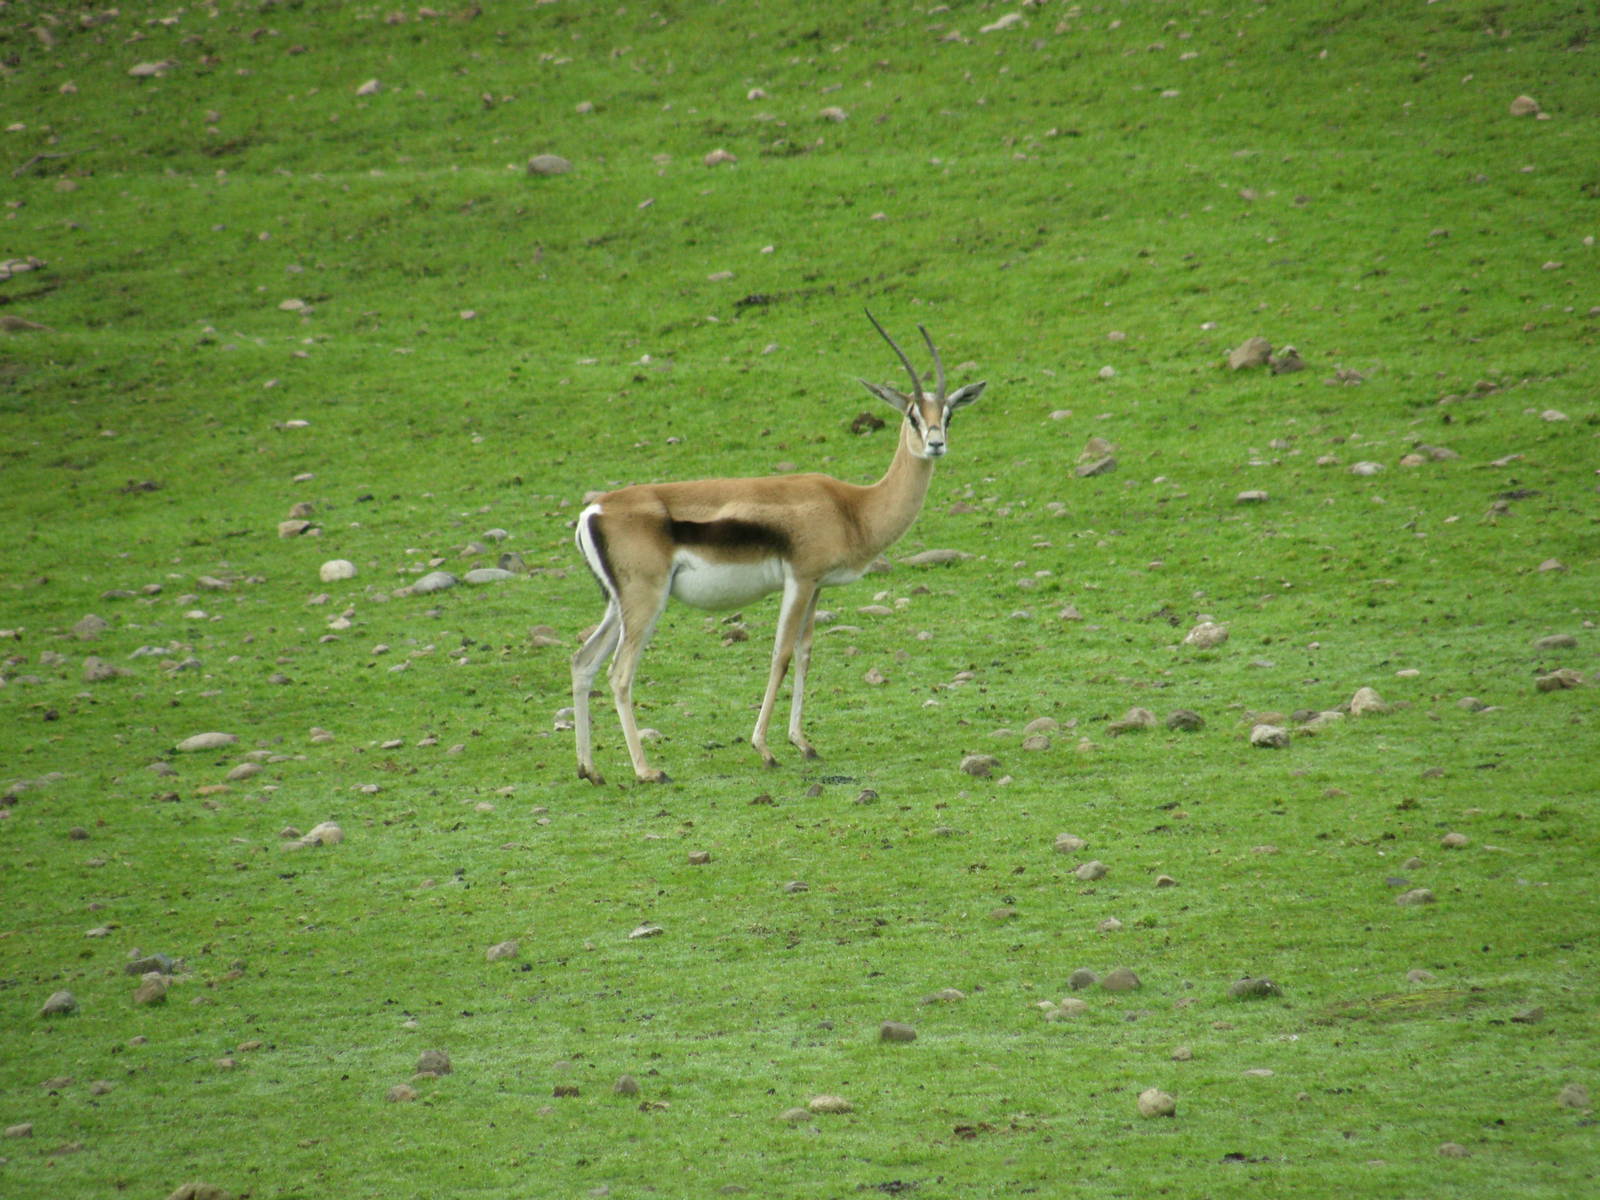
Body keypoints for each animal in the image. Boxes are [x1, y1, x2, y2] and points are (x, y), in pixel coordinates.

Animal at [571, 312, 985, 784]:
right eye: (913, 415)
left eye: (948, 414)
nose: (936, 443)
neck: (852, 507)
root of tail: (594, 511)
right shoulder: (800, 580)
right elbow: (781, 655)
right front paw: (764, 749)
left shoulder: (817, 586)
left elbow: (805, 654)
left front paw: (803, 743)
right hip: (646, 601)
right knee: (620, 673)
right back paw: (647, 770)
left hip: (618, 604)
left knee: (583, 662)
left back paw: (590, 770)